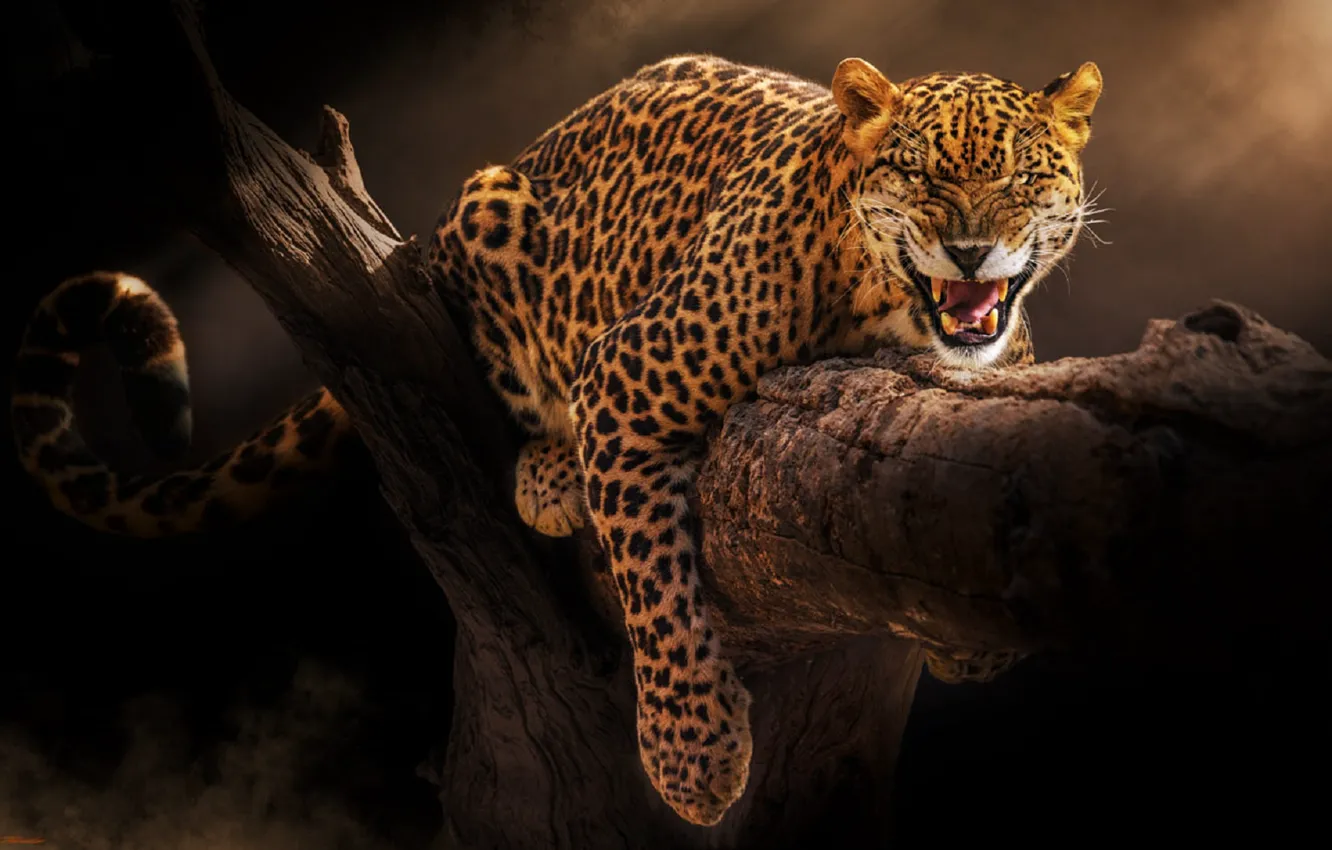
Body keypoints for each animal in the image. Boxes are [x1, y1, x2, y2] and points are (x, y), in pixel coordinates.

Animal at [11, 54, 1102, 826]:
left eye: (1021, 176)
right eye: (918, 172)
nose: (970, 250)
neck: (888, 309)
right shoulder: (623, 372)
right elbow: (653, 580)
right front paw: (693, 757)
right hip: (490, 217)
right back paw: (550, 476)